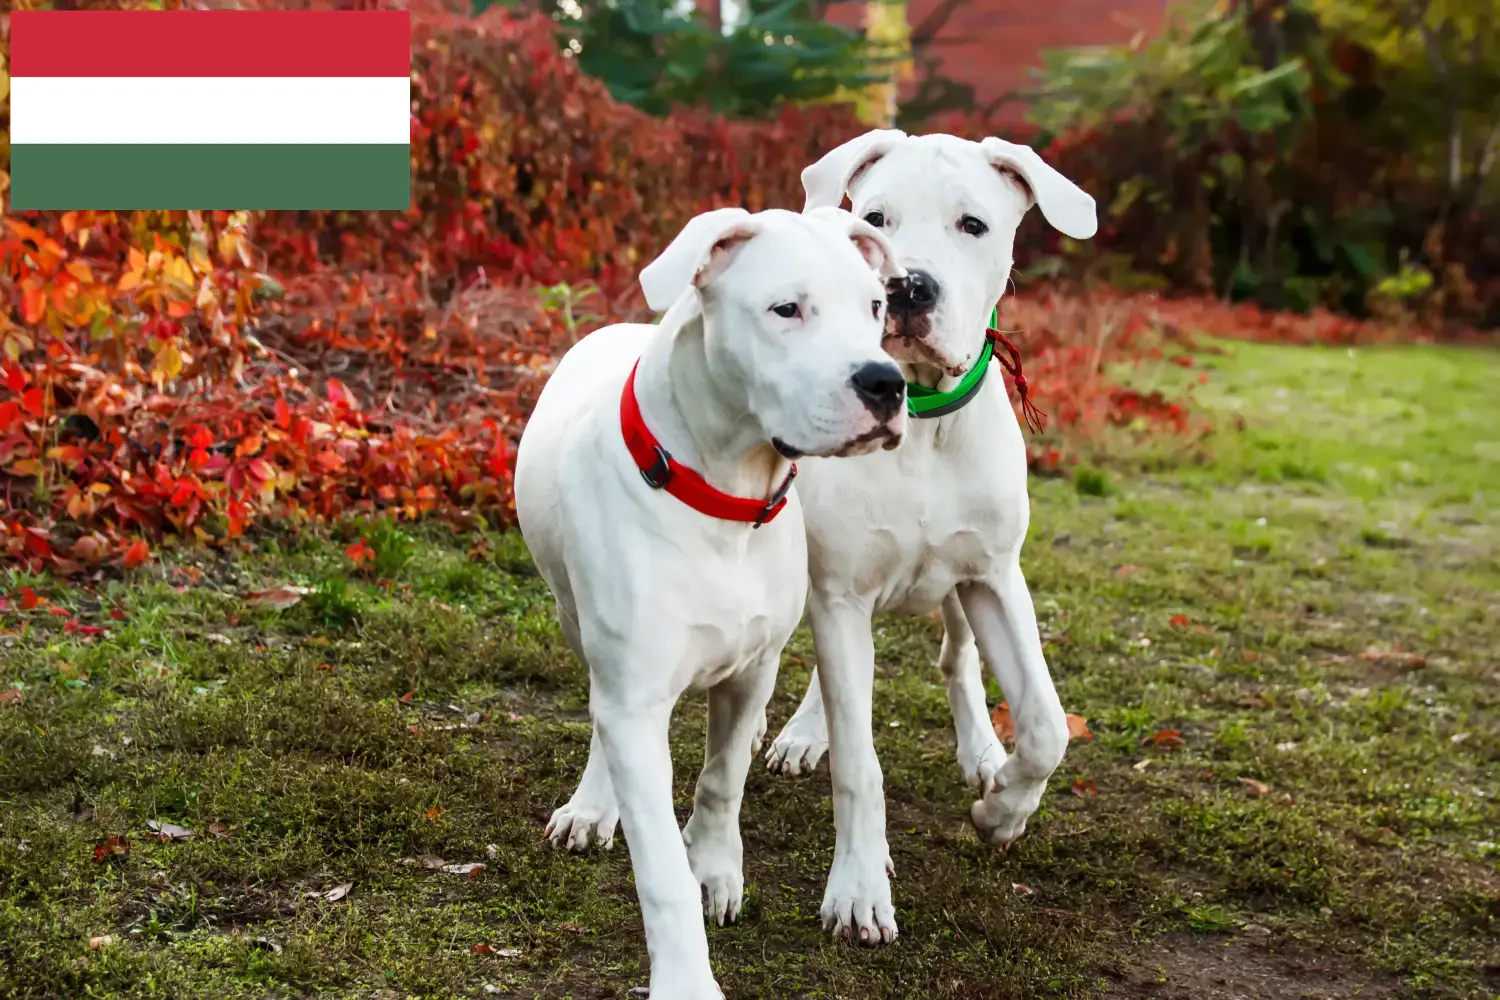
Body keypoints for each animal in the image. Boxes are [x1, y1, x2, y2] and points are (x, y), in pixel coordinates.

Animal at [519, 205, 900, 1000]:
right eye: (786, 309)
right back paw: (593, 804)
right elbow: (658, 864)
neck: (723, 496)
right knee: (599, 714)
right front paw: (687, 977)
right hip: (576, 619)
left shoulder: (752, 668)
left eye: (876, 308)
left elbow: (722, 779)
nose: (887, 383)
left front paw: (716, 869)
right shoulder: (634, 693)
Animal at [762, 132, 1104, 947]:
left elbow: (1046, 727)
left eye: (972, 225)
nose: (908, 288)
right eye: (876, 218)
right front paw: (859, 889)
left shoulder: (995, 578)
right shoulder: (841, 592)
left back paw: (982, 750)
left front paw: (1001, 810)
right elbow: (859, 760)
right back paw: (804, 732)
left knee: (957, 658)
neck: (919, 414)